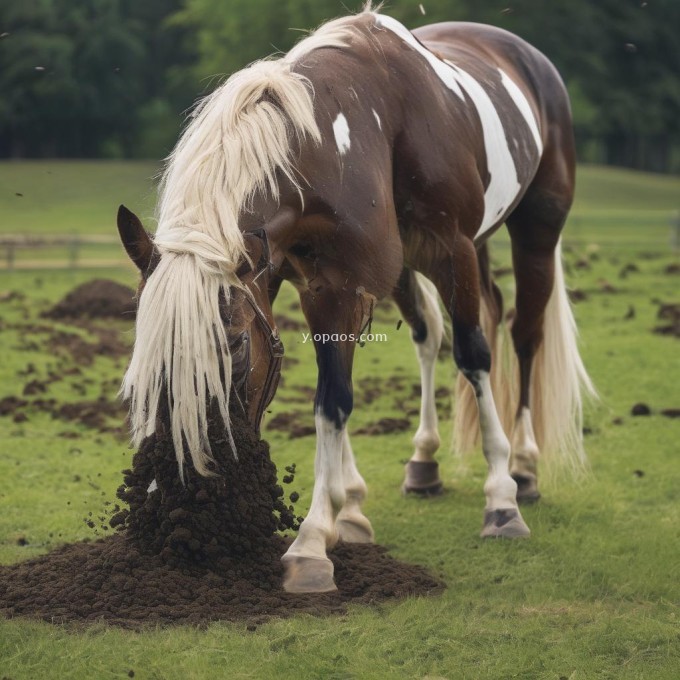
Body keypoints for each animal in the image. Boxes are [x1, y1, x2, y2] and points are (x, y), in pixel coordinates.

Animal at [117, 7, 596, 592]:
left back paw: (523, 466)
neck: (354, 132)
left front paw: (498, 501)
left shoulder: (440, 254)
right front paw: (346, 515)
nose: (187, 509)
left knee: (521, 336)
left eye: (236, 349)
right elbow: (337, 388)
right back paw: (424, 461)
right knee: (434, 334)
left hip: (534, 233)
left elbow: (410, 377)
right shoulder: (313, 281)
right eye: (145, 359)